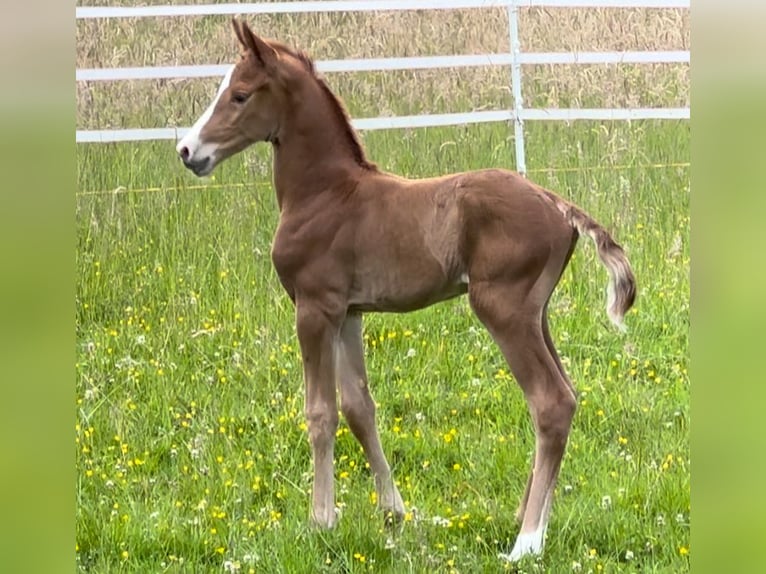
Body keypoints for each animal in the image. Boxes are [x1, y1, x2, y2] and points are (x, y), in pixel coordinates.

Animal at [178, 19, 636, 564]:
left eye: (240, 94)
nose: (187, 151)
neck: (325, 194)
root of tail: (558, 204)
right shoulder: (348, 312)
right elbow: (359, 408)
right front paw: (393, 513)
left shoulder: (313, 308)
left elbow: (320, 412)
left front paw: (321, 521)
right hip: (535, 313)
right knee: (566, 395)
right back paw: (528, 523)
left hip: (502, 309)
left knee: (551, 402)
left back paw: (525, 543)